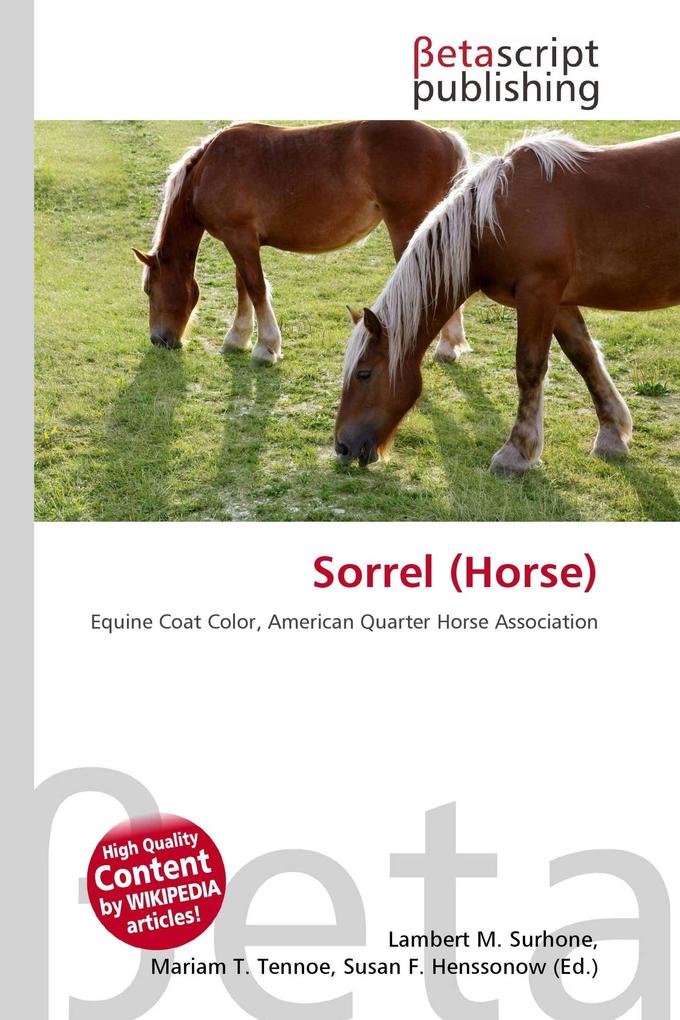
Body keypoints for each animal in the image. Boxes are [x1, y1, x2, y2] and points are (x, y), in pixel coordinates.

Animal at [132, 121, 470, 365]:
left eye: (149, 289)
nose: (159, 340)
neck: (209, 168)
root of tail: (442, 137)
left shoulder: (239, 238)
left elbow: (255, 287)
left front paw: (266, 347)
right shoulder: (241, 239)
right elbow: (243, 286)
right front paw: (238, 338)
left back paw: (444, 347)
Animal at [335, 130, 680, 472]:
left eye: (364, 373)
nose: (341, 446)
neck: (494, 218)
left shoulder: (538, 294)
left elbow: (529, 368)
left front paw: (516, 453)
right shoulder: (560, 303)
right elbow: (584, 357)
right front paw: (611, 435)